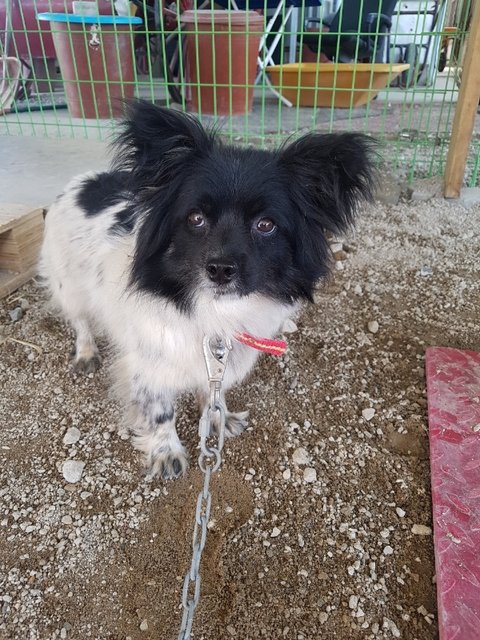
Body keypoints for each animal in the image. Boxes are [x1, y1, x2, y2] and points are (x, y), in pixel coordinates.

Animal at [40, 100, 376, 480]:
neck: (216, 312)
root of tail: (82, 181)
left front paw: (219, 419)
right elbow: (161, 411)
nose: (220, 269)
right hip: (69, 286)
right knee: (80, 321)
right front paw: (166, 451)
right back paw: (86, 353)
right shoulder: (149, 365)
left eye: (266, 225)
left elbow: (213, 395)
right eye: (196, 218)